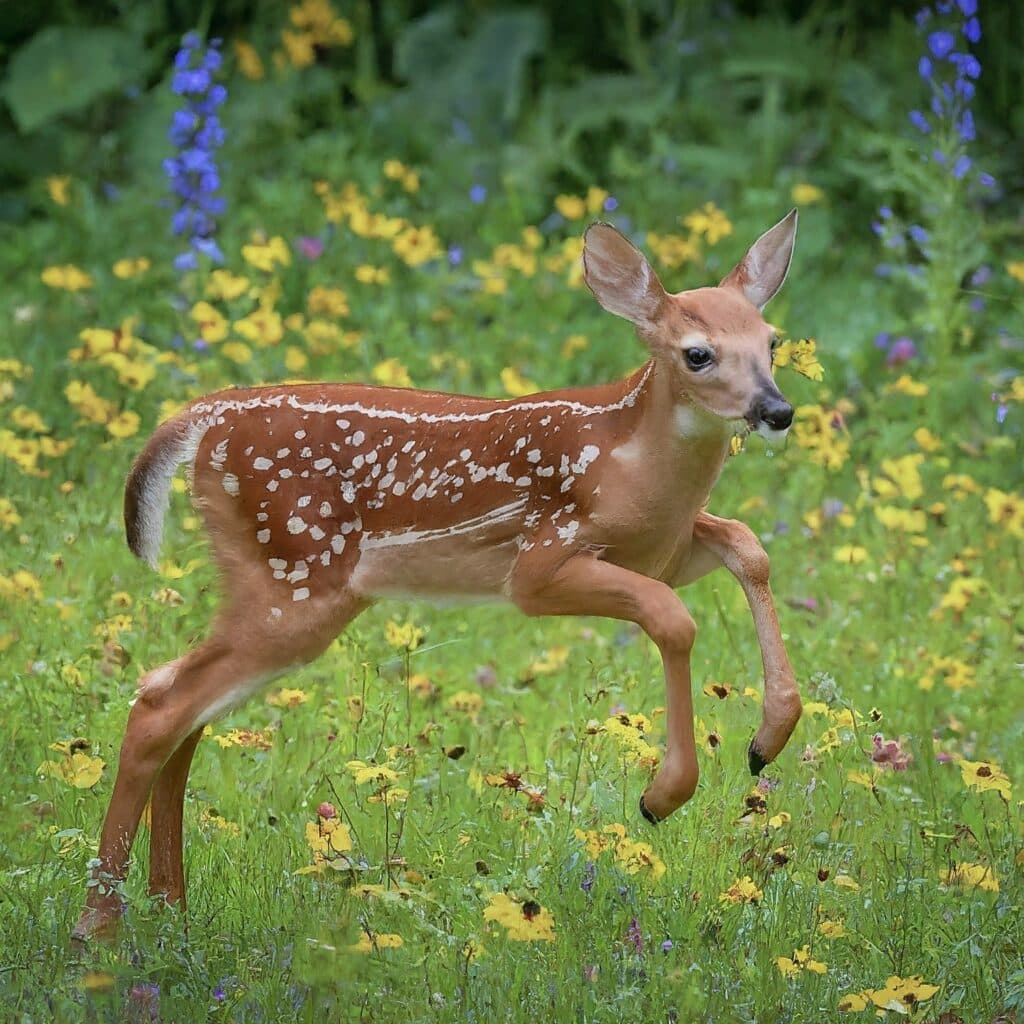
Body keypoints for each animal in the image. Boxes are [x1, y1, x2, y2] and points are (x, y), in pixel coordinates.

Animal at [74, 211, 806, 937]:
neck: (633, 467)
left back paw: (168, 905)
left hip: (276, 585)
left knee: (180, 701)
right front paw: (663, 794)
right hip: (295, 579)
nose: (777, 410)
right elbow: (671, 616)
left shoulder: (665, 552)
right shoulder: (539, 565)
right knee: (161, 704)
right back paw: (99, 925)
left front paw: (768, 739)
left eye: (772, 343)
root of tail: (199, 420)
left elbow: (748, 545)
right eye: (697, 353)